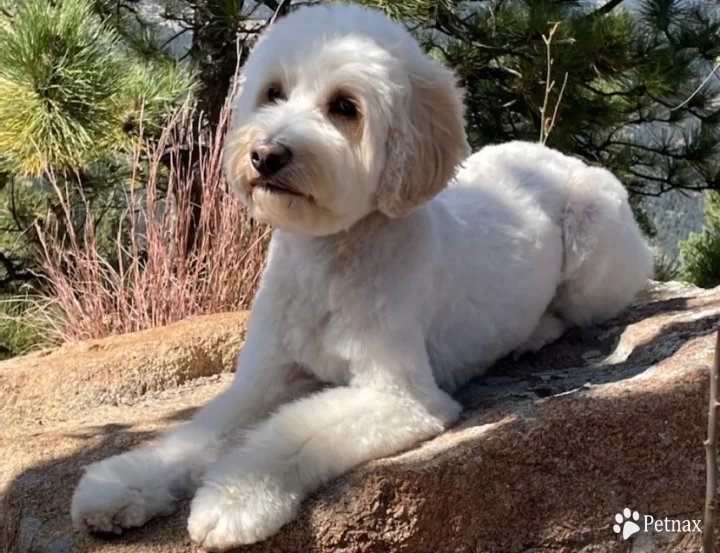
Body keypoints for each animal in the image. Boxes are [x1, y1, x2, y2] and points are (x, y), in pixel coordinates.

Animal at [71, 3, 652, 548]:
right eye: (273, 92)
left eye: (344, 107)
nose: (266, 154)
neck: (326, 262)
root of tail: (552, 154)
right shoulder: (262, 379)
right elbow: (199, 433)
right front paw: (124, 484)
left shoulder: (400, 397)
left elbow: (290, 435)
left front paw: (235, 499)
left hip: (594, 236)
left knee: (574, 311)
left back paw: (533, 334)